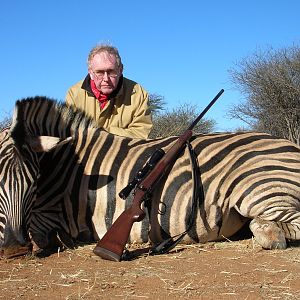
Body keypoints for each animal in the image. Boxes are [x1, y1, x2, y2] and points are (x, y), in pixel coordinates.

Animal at [0, 96, 298, 258]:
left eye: (33, 183)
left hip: (259, 189)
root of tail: (292, 146)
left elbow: (42, 233)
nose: (14, 249)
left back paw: (267, 232)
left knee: (283, 225)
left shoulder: (48, 216)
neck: (65, 161)